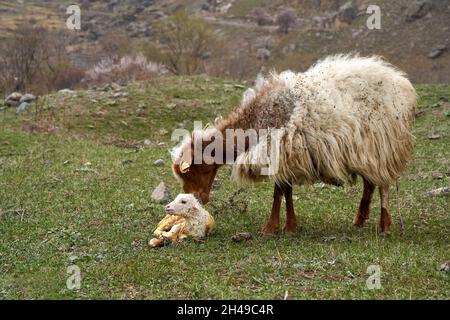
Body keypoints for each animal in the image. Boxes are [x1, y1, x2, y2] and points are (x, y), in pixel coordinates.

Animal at [171, 53, 414, 236]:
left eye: (198, 170)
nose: (199, 200)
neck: (259, 118)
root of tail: (399, 82)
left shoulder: (281, 152)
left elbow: (279, 192)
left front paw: (271, 228)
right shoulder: (283, 157)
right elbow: (286, 191)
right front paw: (289, 226)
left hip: (382, 144)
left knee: (383, 185)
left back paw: (384, 225)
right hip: (364, 150)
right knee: (370, 183)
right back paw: (360, 219)